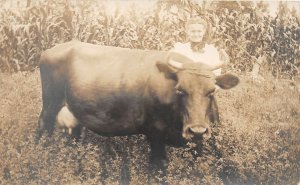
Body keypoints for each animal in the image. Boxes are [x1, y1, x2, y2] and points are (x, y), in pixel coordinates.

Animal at [35, 40, 239, 172]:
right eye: (180, 90)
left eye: (212, 91)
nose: (196, 130)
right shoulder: (155, 133)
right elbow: (159, 168)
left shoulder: (200, 141)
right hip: (50, 103)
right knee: (43, 127)